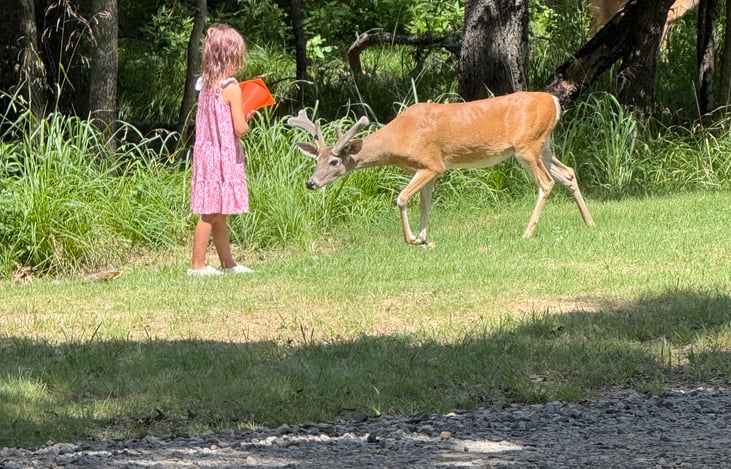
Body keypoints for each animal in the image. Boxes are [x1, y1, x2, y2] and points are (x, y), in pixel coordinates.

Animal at [287, 91, 595, 246]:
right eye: (316, 161)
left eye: (334, 162)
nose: (311, 183)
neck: (401, 136)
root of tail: (554, 101)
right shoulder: (428, 168)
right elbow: (425, 203)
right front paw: (424, 238)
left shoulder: (432, 163)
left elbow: (402, 198)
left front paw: (412, 239)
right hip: (544, 145)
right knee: (568, 172)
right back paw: (590, 223)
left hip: (527, 146)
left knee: (546, 182)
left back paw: (527, 233)